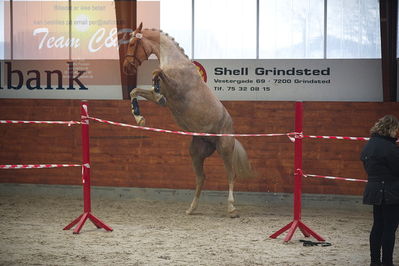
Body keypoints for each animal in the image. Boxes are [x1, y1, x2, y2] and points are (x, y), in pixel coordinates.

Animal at [123, 23, 253, 218]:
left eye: (132, 44)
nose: (126, 67)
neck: (176, 63)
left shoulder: (175, 89)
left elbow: (157, 73)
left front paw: (155, 87)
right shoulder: (160, 98)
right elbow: (135, 91)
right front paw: (139, 118)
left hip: (225, 148)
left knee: (231, 175)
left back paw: (232, 209)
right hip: (196, 153)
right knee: (201, 178)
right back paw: (191, 208)